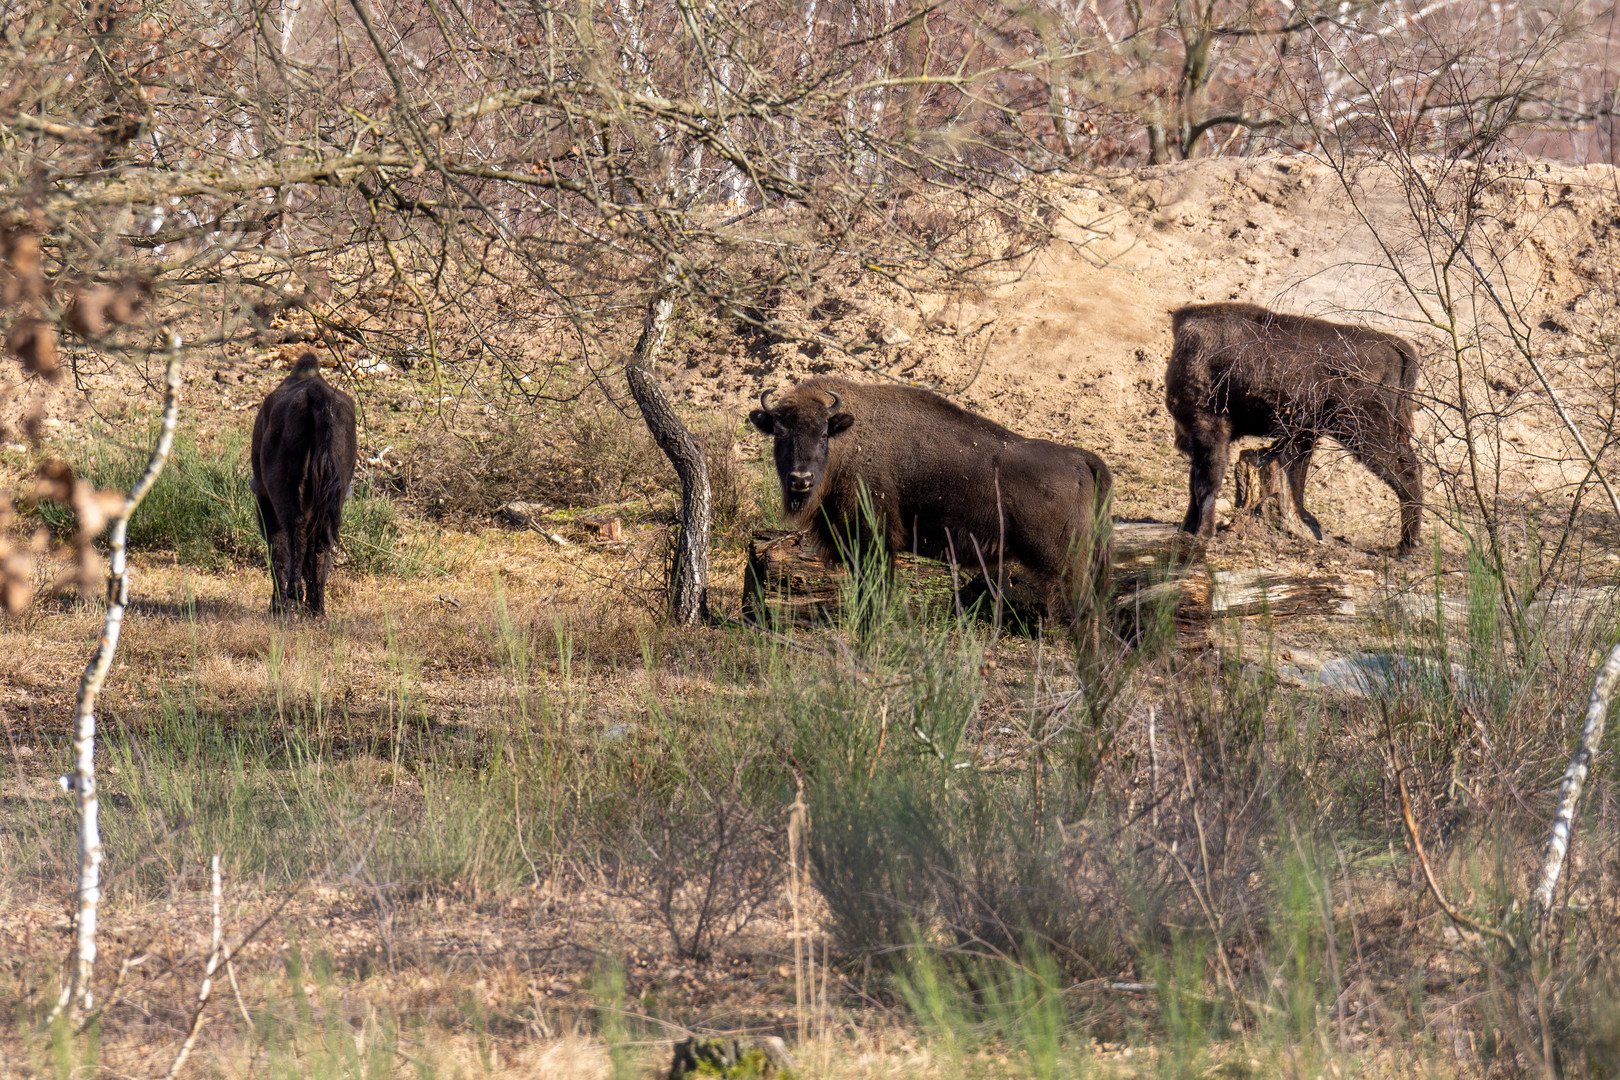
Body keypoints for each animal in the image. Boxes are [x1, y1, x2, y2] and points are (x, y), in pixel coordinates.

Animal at [249, 351, 358, 612]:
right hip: (331, 497)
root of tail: (319, 399)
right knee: (320, 544)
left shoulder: (265, 499)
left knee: (293, 531)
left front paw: (278, 605)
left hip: (283, 488)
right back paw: (317, 608)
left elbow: (278, 548)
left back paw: (292, 594)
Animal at [745, 380, 1114, 625]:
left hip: (1062, 563)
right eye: (780, 434)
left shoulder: (875, 542)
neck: (847, 442)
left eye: (823, 433)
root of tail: (1081, 459)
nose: (800, 479)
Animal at [1166, 304, 1419, 557]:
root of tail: (1394, 344)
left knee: (1405, 473)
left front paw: (1202, 533)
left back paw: (1405, 546)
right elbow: (1194, 483)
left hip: (1364, 431)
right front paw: (1187, 527)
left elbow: (1206, 483)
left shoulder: (1209, 430)